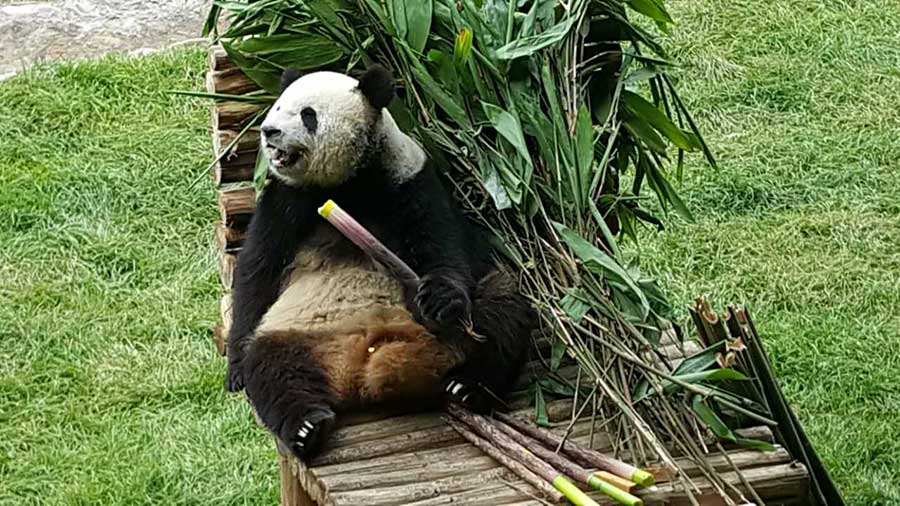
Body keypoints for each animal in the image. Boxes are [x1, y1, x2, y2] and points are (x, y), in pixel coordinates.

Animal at [227, 65, 536, 460]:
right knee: (272, 367)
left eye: (307, 115)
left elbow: (441, 245)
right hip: (295, 331)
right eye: (278, 106)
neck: (347, 183)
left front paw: (438, 300)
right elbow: (258, 268)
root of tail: (363, 366)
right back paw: (305, 426)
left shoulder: (408, 181)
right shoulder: (285, 200)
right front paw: (234, 370)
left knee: (502, 309)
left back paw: (468, 386)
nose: (269, 132)